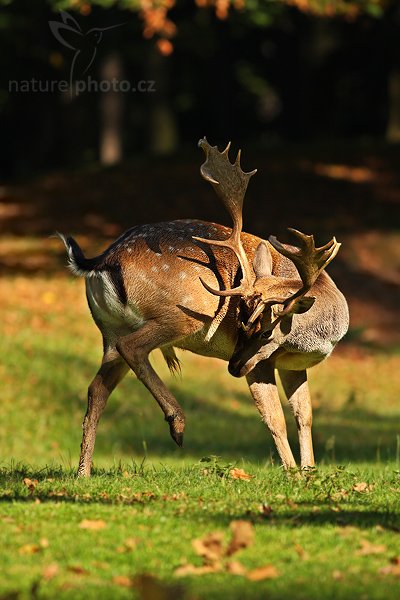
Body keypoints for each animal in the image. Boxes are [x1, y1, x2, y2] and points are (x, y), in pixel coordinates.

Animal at [57, 138, 348, 476]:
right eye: (242, 322)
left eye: (265, 332)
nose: (233, 367)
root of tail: (103, 259)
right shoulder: (263, 363)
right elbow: (274, 418)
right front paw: (291, 474)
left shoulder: (292, 365)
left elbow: (305, 416)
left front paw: (309, 472)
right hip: (183, 313)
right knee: (133, 348)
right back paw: (178, 424)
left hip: (109, 329)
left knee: (96, 388)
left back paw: (83, 473)